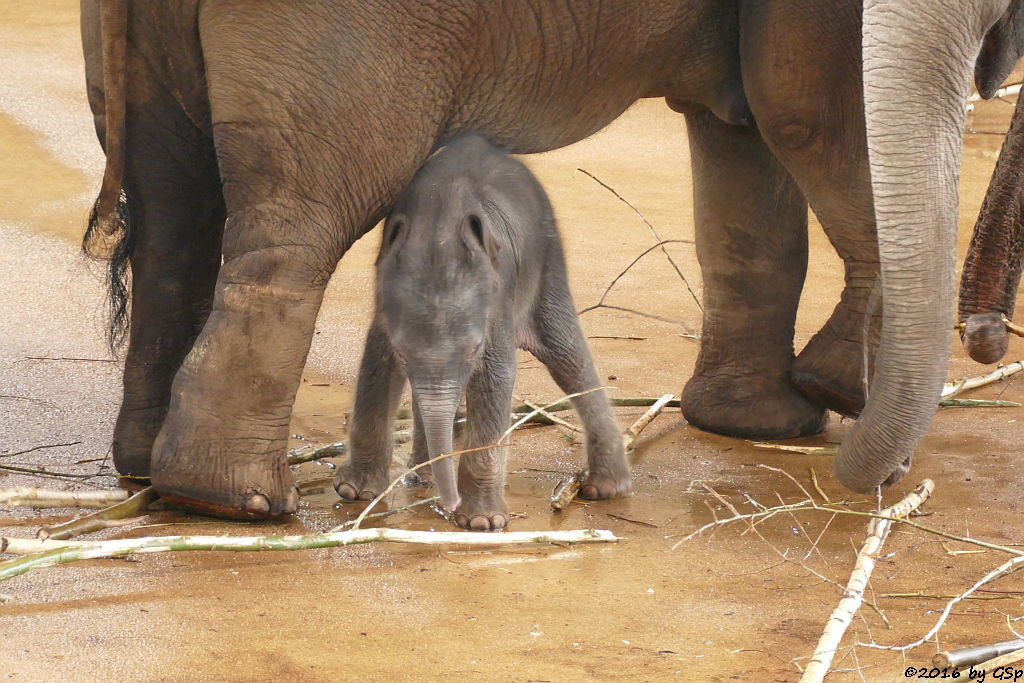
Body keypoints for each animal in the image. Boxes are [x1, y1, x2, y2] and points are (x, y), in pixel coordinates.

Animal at [331, 133, 626, 528]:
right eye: (404, 353)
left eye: (472, 350)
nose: (449, 505)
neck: (439, 225)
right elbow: (376, 365)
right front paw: (354, 492)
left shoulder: (497, 301)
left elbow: (496, 377)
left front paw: (482, 523)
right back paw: (420, 477)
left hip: (549, 262)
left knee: (569, 359)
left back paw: (606, 487)